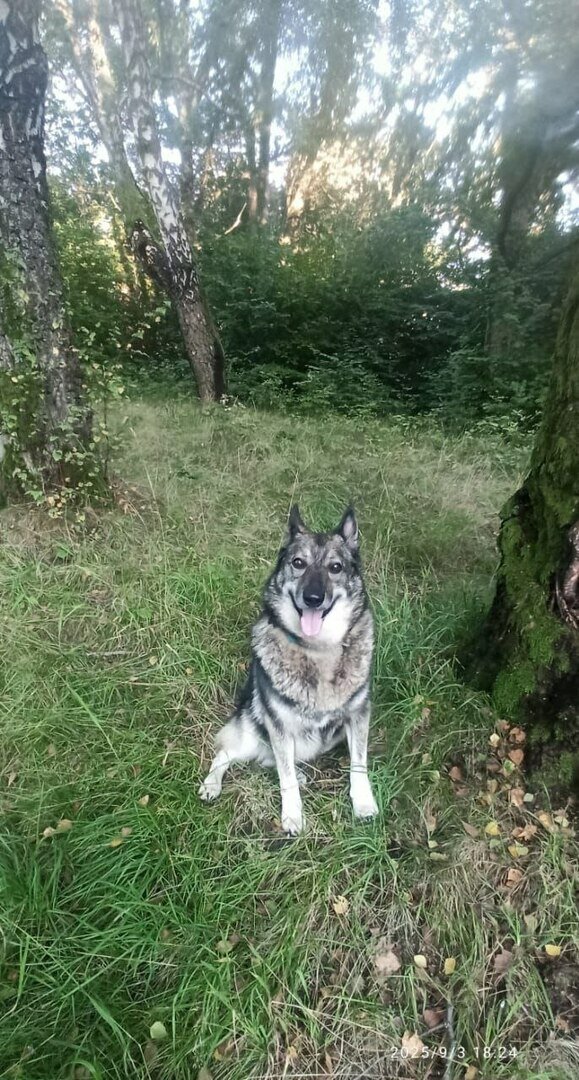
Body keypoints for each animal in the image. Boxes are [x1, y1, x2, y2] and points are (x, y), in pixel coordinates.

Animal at [198, 505, 378, 834]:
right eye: (298, 563)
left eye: (335, 567)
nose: (313, 598)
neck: (318, 649)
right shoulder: (278, 725)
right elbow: (286, 780)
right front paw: (292, 816)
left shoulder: (359, 715)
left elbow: (359, 764)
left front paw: (363, 804)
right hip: (251, 734)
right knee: (226, 754)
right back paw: (212, 784)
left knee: (271, 761)